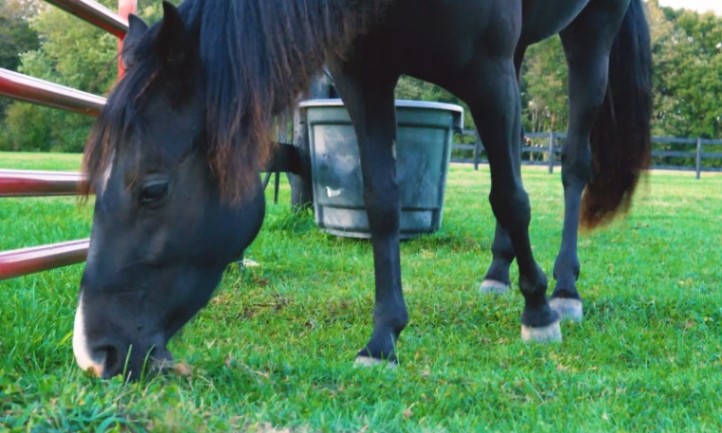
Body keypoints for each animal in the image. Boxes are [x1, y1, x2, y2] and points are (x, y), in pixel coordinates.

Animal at [73, 0, 651, 379]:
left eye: (152, 189)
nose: (94, 353)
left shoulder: (483, 69)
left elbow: (510, 196)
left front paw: (539, 314)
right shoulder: (365, 74)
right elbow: (381, 202)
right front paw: (382, 340)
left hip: (591, 30)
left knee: (572, 166)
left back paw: (564, 289)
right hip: (518, 53)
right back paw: (497, 271)